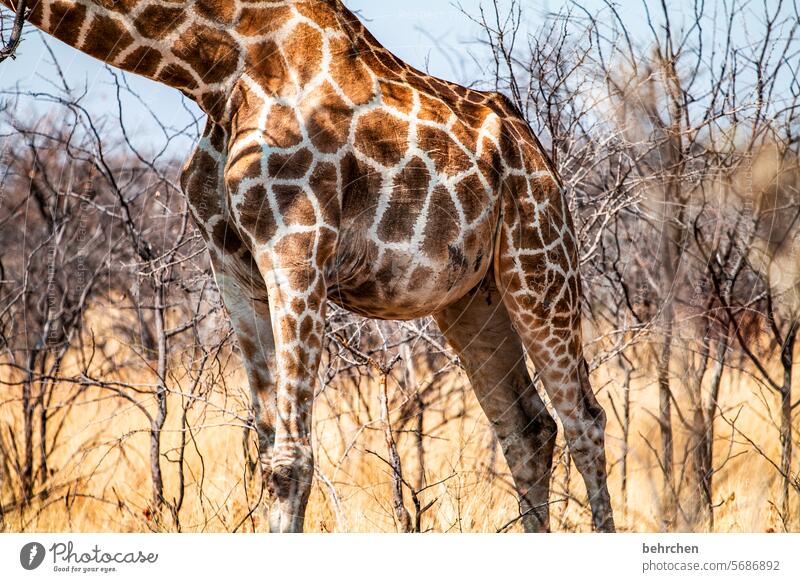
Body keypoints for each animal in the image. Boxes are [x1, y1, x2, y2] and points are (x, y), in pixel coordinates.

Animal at [0, 0, 616, 532]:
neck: (216, 71)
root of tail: (537, 152)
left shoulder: (297, 243)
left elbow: (292, 459)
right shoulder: (233, 264)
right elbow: (268, 446)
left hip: (540, 262)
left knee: (583, 419)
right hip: (470, 300)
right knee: (527, 427)